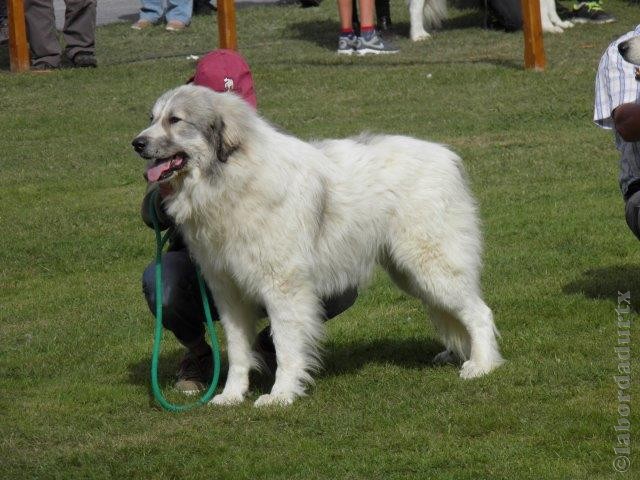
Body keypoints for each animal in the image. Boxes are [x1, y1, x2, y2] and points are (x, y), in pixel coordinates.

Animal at [134, 85, 504, 404]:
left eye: (175, 120)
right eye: (152, 117)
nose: (136, 143)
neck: (231, 179)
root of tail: (446, 157)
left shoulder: (283, 287)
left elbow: (286, 346)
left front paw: (280, 395)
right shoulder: (228, 292)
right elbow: (239, 351)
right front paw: (231, 396)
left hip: (431, 265)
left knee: (479, 313)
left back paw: (481, 365)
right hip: (411, 274)